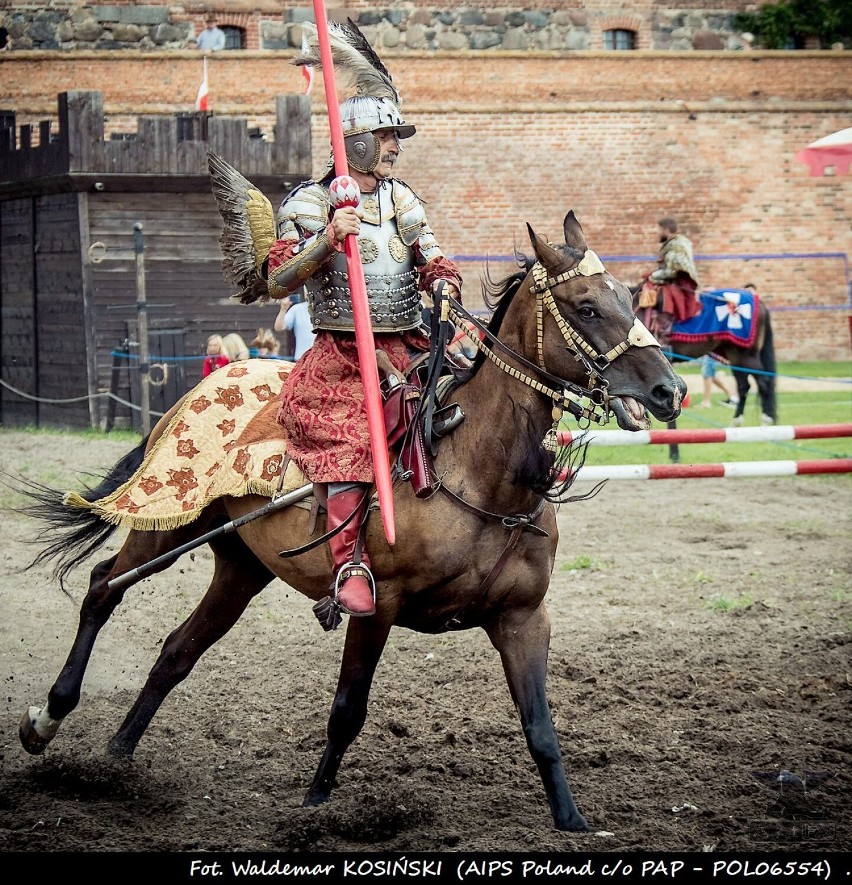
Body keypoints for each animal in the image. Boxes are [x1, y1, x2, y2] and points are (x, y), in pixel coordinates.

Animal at [15, 211, 684, 832]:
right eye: (587, 307)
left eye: (630, 299)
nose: (668, 390)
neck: (477, 472)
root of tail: (207, 381)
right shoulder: (376, 608)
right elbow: (347, 710)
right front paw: (315, 804)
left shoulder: (522, 619)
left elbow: (541, 727)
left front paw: (572, 820)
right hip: (170, 525)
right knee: (102, 587)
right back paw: (46, 719)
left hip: (241, 568)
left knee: (177, 652)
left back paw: (117, 756)